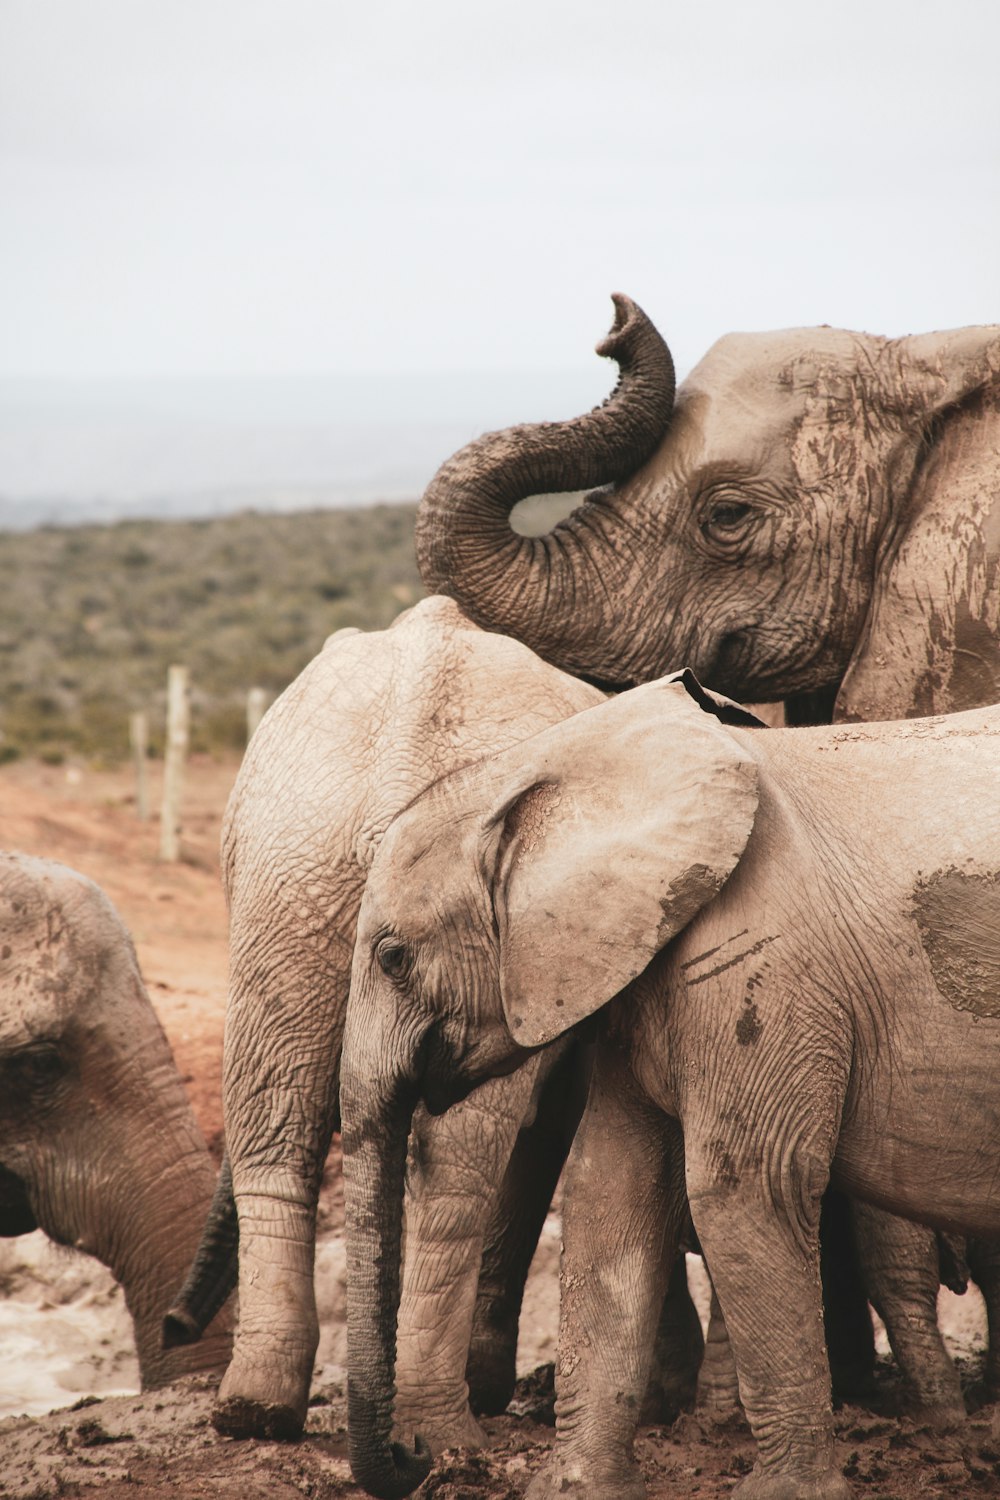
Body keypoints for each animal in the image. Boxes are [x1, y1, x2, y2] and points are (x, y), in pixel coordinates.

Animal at [341, 678, 1000, 1500]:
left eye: (393, 957)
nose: (420, 1458)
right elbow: (609, 1190)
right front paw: (575, 1490)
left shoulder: (757, 963)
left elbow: (746, 1186)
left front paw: (784, 1496)